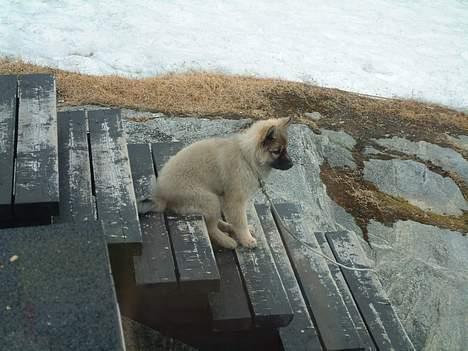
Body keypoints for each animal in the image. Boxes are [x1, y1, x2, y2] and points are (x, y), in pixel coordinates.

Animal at [147, 118, 292, 250]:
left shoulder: (227, 197)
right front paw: (246, 239)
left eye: (286, 149)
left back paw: (228, 227)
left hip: (214, 200)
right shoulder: (235, 201)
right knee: (210, 228)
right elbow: (240, 222)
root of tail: (161, 196)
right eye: (276, 151)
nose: (292, 164)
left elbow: (236, 220)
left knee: (215, 222)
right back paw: (226, 241)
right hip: (209, 200)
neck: (246, 156)